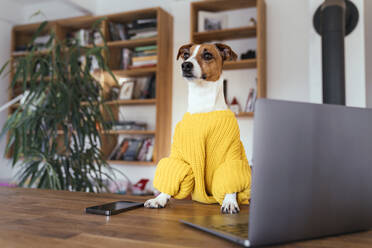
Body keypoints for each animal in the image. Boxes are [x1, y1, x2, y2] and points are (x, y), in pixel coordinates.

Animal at [144, 43, 251, 214]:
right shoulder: (179, 155)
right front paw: (159, 199)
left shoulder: (230, 151)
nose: (186, 65)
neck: (203, 104)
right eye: (186, 55)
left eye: (207, 55)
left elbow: (230, 177)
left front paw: (229, 201)